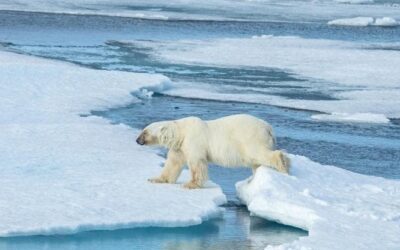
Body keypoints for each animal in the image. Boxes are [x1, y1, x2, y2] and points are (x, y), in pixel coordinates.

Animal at [136, 114, 290, 188]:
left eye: (145, 132)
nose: (137, 140)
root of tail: (268, 127)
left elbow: (197, 164)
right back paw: (253, 180)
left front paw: (190, 184)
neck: (182, 132)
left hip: (250, 137)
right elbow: (173, 163)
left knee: (259, 153)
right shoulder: (180, 147)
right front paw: (156, 179)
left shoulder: (194, 141)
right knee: (256, 161)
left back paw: (283, 165)